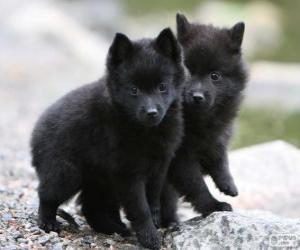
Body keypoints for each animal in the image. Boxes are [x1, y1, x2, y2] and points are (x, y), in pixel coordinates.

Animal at [30, 27, 185, 250]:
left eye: (162, 87)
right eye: (134, 90)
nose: (152, 113)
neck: (143, 130)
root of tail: (35, 132)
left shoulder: (159, 165)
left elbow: (153, 196)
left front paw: (156, 220)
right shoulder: (128, 174)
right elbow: (140, 208)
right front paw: (150, 237)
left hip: (100, 179)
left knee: (92, 208)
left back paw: (114, 229)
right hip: (67, 172)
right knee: (47, 195)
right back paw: (47, 222)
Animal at [162, 14, 248, 228]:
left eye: (214, 76)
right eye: (188, 71)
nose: (197, 96)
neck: (197, 121)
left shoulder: (217, 138)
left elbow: (221, 160)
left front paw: (228, 184)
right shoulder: (181, 158)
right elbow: (196, 186)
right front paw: (213, 206)